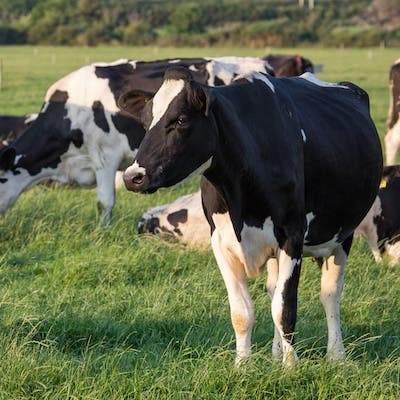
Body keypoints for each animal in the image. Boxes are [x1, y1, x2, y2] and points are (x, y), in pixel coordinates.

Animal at [119, 67, 382, 364]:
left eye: (181, 119)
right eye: (145, 121)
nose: (132, 177)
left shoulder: (292, 235)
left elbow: (285, 310)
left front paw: (291, 366)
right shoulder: (221, 241)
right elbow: (242, 313)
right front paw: (243, 365)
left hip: (342, 233)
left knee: (330, 293)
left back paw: (336, 355)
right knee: (274, 288)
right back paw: (276, 354)